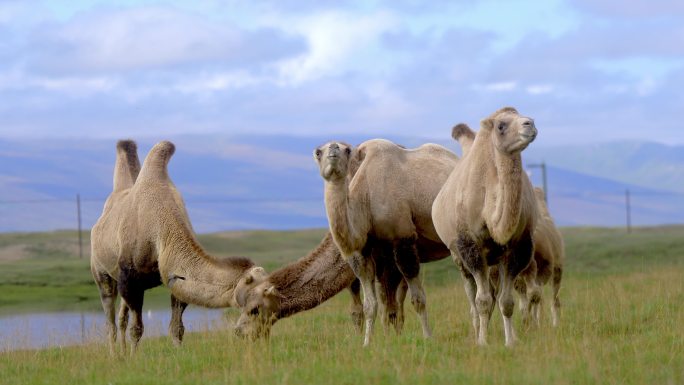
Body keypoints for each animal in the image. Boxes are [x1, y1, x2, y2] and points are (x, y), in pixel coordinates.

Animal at [91, 139, 260, 354]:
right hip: (101, 272)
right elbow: (137, 328)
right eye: (256, 306)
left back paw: (121, 353)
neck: (162, 232)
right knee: (110, 317)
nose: (257, 333)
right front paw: (134, 357)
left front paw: (179, 353)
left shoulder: (176, 278)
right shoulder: (130, 280)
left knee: (121, 317)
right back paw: (115, 355)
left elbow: (177, 327)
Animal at [314, 140, 454, 346]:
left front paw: (428, 337)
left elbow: (418, 299)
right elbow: (370, 305)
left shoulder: (403, 238)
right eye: (318, 152)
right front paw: (366, 343)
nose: (333, 148)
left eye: (346, 150)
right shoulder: (363, 254)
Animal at [432, 106, 540, 346]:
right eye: (501, 125)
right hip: (458, 256)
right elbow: (482, 300)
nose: (530, 124)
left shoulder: (518, 248)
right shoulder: (470, 246)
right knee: (473, 295)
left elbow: (506, 301)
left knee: (494, 294)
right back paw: (476, 333)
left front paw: (511, 342)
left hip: (494, 260)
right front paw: (482, 343)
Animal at [454, 124, 568, 328]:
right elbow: (526, 298)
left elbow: (534, 295)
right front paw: (527, 322)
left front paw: (531, 324)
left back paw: (553, 322)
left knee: (553, 296)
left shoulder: (539, 266)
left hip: (557, 267)